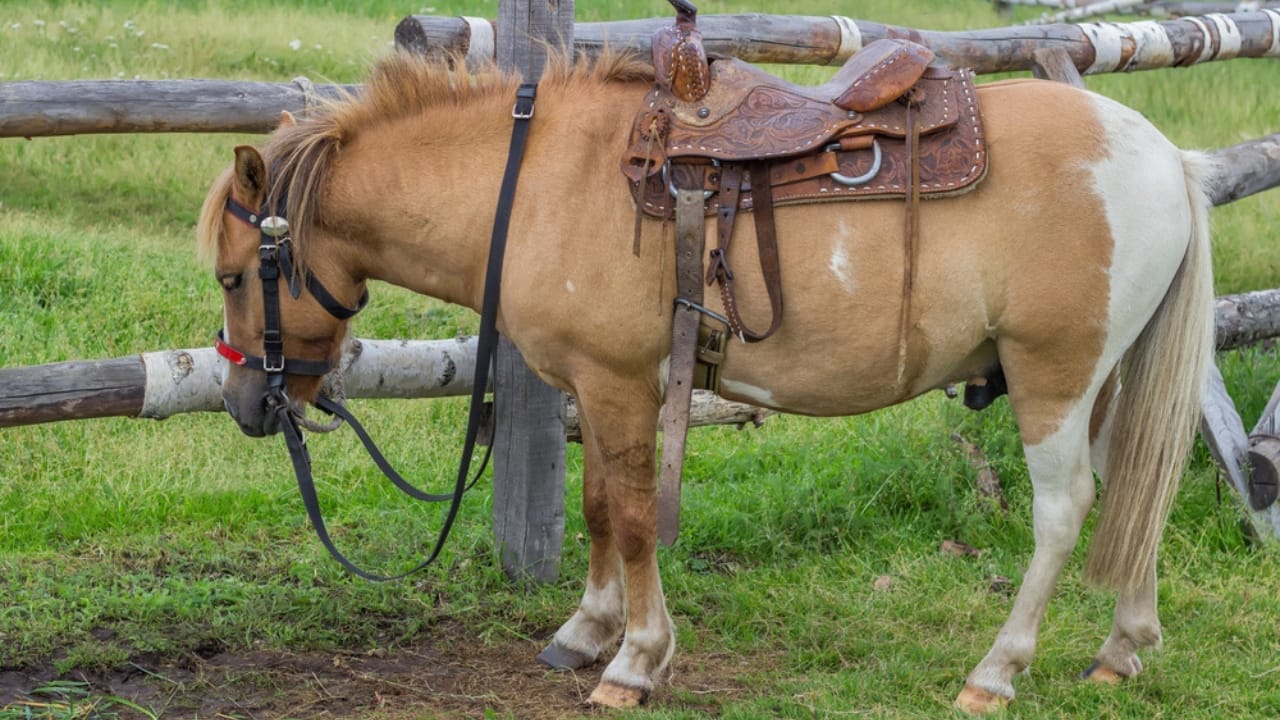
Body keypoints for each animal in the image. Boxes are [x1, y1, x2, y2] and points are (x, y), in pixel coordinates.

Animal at [197, 50, 1216, 714]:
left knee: (1065, 511)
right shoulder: (597, 385)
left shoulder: (617, 382)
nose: (249, 406)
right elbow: (599, 506)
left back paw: (995, 673)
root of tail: (1169, 158)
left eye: (237, 275)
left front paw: (636, 661)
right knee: (1139, 489)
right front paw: (586, 631)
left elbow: (634, 515)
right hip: (1109, 380)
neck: (534, 184)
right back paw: (1122, 648)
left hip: (1055, 377)